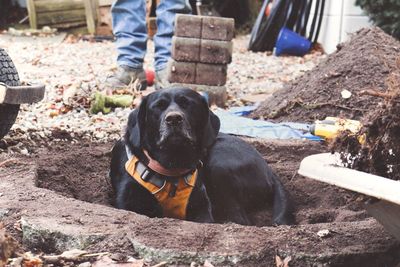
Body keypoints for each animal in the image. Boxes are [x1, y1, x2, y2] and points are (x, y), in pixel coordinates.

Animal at [110, 88, 294, 226]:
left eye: (187, 104)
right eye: (158, 106)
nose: (174, 119)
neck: (172, 167)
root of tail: (270, 172)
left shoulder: (202, 211)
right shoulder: (130, 204)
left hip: (219, 164)